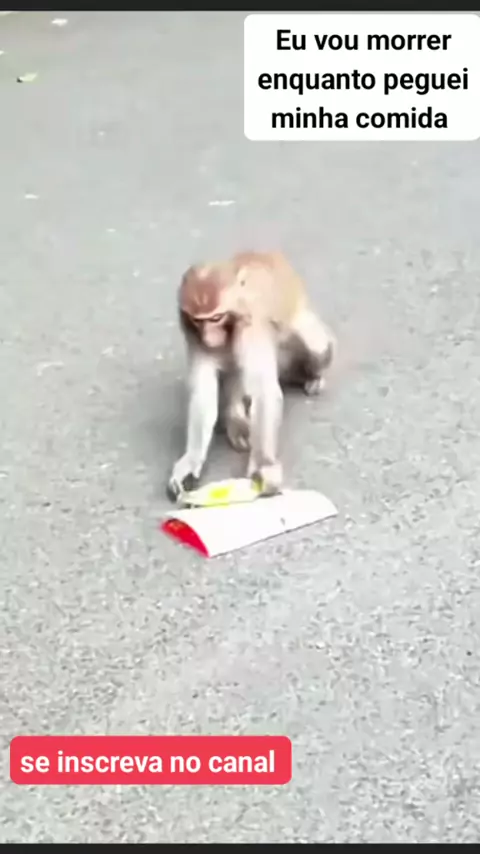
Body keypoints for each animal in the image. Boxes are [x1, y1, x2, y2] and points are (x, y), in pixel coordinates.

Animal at [166, 251, 336, 501]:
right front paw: (191, 461)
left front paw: (263, 465)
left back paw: (313, 377)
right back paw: (235, 418)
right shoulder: (192, 333)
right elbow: (204, 392)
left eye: (216, 318)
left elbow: (264, 391)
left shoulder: (251, 326)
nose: (209, 337)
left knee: (316, 347)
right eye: (198, 320)